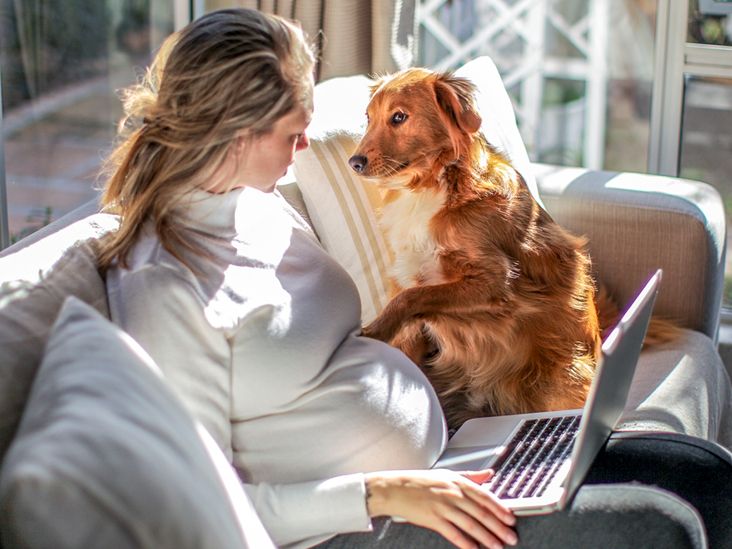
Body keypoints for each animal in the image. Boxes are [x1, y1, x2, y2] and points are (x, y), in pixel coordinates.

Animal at [348, 67, 612, 428]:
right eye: (368, 117)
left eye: (399, 117)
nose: (354, 162)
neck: (434, 184)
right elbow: (409, 324)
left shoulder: (495, 281)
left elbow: (412, 298)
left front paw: (374, 330)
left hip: (562, 380)